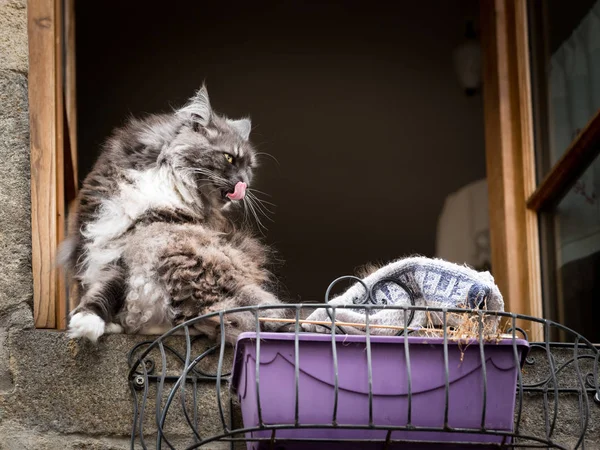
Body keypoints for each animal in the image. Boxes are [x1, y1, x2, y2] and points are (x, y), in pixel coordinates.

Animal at [62, 85, 288, 344]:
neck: (166, 178)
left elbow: (109, 284)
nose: (245, 183)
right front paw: (88, 319)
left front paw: (89, 322)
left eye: (249, 168)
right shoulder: (110, 237)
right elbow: (101, 286)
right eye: (229, 158)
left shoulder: (138, 236)